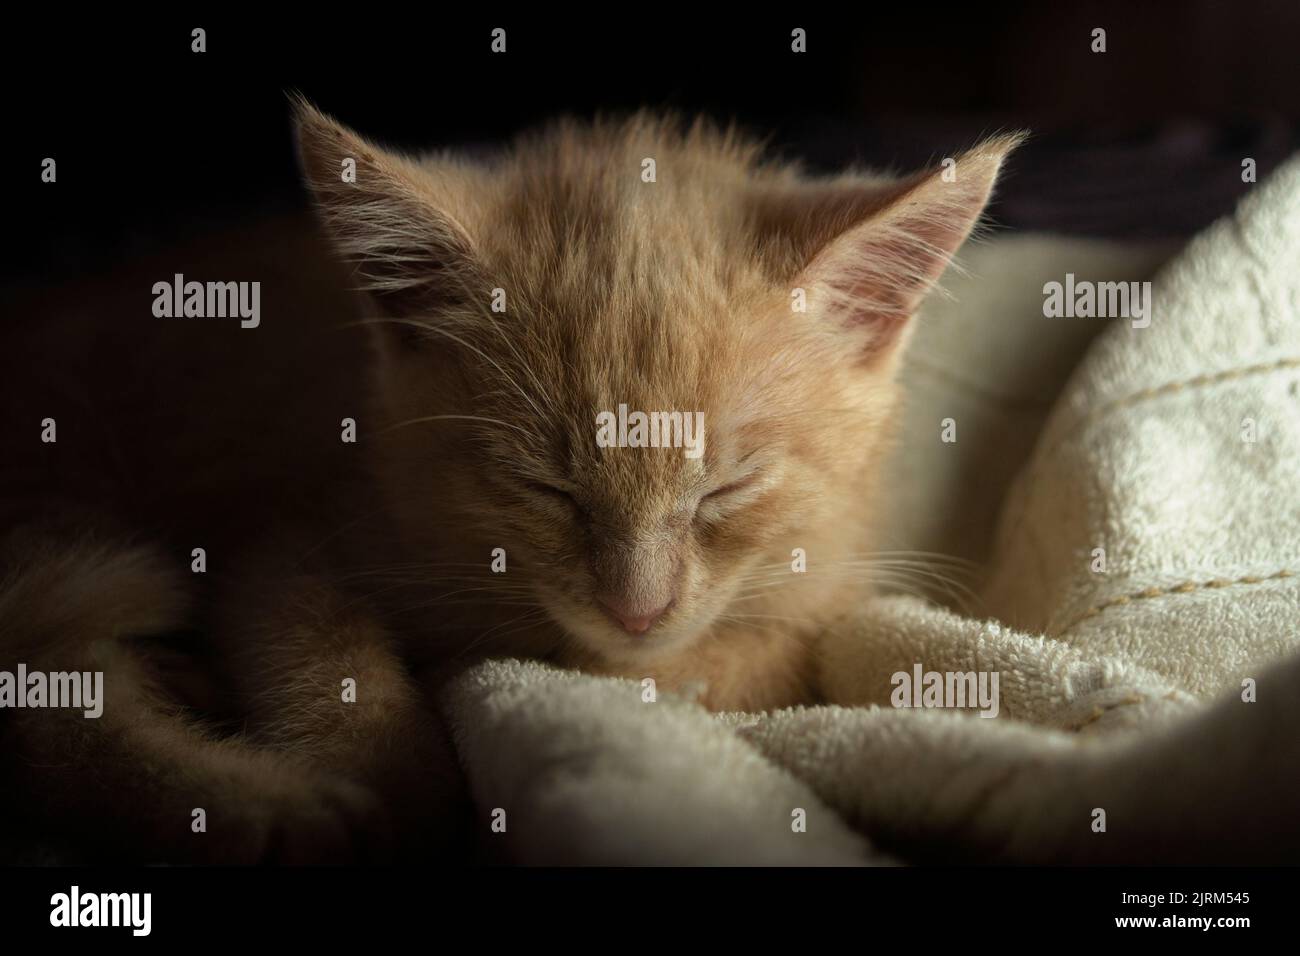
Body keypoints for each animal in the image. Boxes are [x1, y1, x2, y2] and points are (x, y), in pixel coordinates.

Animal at [0, 102, 1013, 858]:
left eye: (726, 489)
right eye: (544, 487)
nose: (636, 610)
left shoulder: (821, 593)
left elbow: (746, 664)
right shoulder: (287, 537)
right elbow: (319, 640)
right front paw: (390, 782)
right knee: (50, 686)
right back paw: (269, 811)